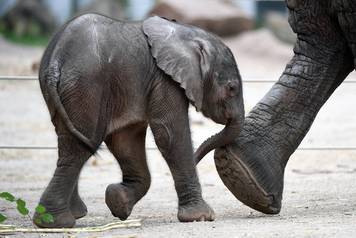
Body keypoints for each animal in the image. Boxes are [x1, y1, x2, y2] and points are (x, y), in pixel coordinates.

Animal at [34, 13, 245, 229]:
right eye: (232, 88)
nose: (197, 159)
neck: (186, 33)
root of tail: (57, 59)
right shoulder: (165, 79)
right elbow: (170, 135)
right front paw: (201, 217)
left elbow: (125, 141)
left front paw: (118, 202)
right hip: (86, 86)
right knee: (79, 148)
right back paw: (57, 222)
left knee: (69, 143)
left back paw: (73, 215)